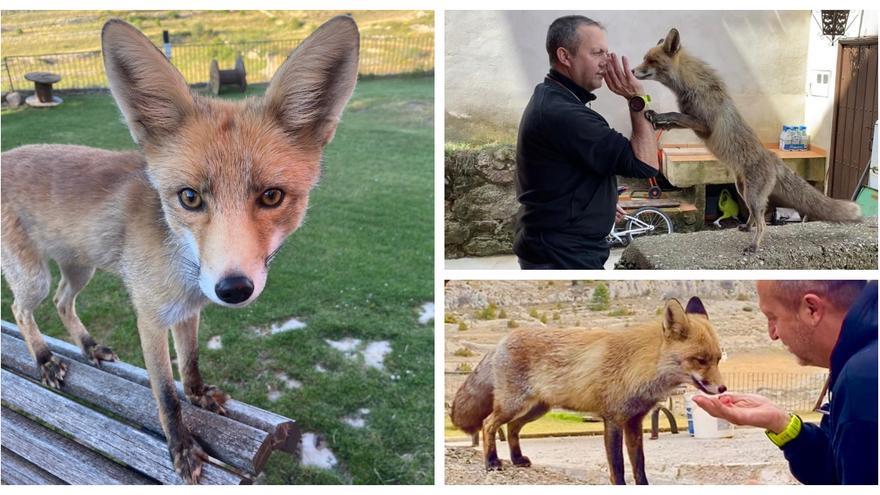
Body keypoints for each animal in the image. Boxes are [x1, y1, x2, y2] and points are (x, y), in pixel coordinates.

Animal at [0, 16, 358, 484]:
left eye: (272, 196)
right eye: (189, 198)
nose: (233, 288)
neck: (182, 269)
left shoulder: (188, 311)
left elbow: (190, 363)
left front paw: (199, 395)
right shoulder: (150, 318)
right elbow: (166, 394)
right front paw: (182, 446)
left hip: (79, 270)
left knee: (63, 303)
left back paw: (89, 347)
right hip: (34, 278)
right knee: (21, 311)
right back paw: (44, 359)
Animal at [450, 296, 724, 486]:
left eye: (718, 359)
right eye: (700, 360)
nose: (722, 388)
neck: (637, 367)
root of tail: (501, 342)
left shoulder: (634, 421)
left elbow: (639, 466)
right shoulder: (613, 419)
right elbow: (618, 467)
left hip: (536, 409)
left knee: (512, 428)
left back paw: (517, 460)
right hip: (513, 405)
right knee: (488, 424)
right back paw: (491, 462)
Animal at [628, 28, 864, 252]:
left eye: (650, 60)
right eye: (644, 58)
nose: (632, 71)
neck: (690, 85)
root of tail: (773, 157)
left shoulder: (703, 124)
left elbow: (675, 115)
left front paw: (659, 117)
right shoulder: (693, 121)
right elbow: (673, 120)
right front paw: (656, 120)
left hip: (752, 195)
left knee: (763, 223)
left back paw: (755, 245)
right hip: (743, 191)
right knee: (752, 215)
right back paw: (747, 227)